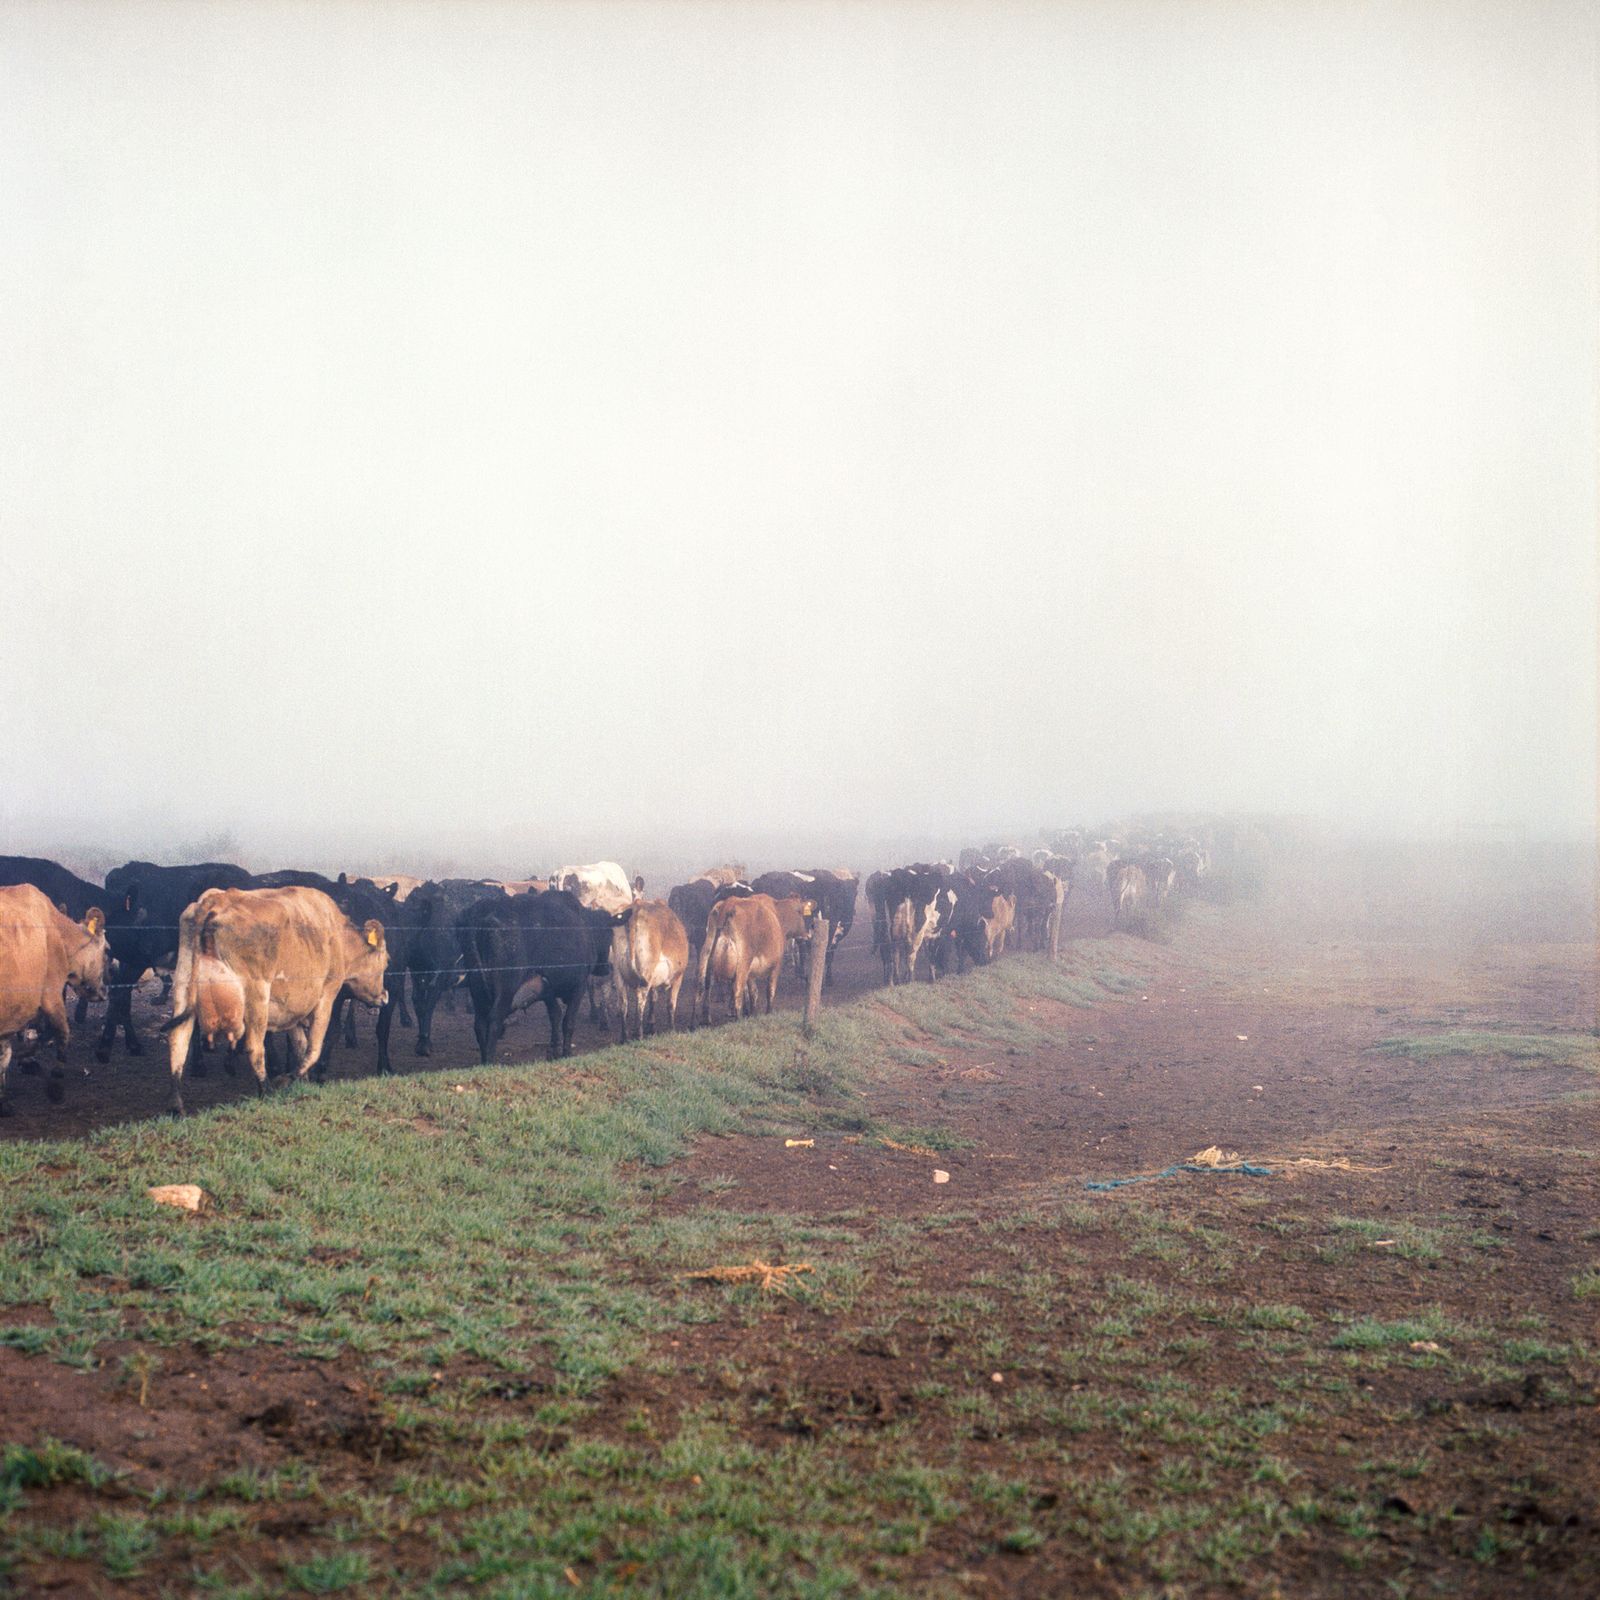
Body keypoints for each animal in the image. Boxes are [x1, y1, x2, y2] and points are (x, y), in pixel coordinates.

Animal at [0, 889, 106, 1113]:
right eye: (106, 951)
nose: (103, 991)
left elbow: (5, 1054)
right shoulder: (51, 994)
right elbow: (61, 1032)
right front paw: (56, 1076)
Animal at [164, 889, 387, 1113]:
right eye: (386, 961)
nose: (384, 996)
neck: (339, 937)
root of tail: (216, 900)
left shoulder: (292, 1010)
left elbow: (300, 1045)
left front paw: (303, 1083)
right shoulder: (327, 996)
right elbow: (313, 1048)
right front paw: (287, 1079)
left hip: (183, 986)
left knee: (178, 1039)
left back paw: (176, 1106)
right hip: (257, 997)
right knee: (255, 1047)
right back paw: (266, 1091)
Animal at [608, 896, 691, 1043]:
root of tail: (636, 906)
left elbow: (653, 997)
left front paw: (651, 1025)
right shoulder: (678, 977)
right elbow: (671, 1004)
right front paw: (671, 1030)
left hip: (619, 974)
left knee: (623, 1003)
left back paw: (625, 1036)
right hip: (645, 972)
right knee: (641, 1001)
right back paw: (639, 1035)